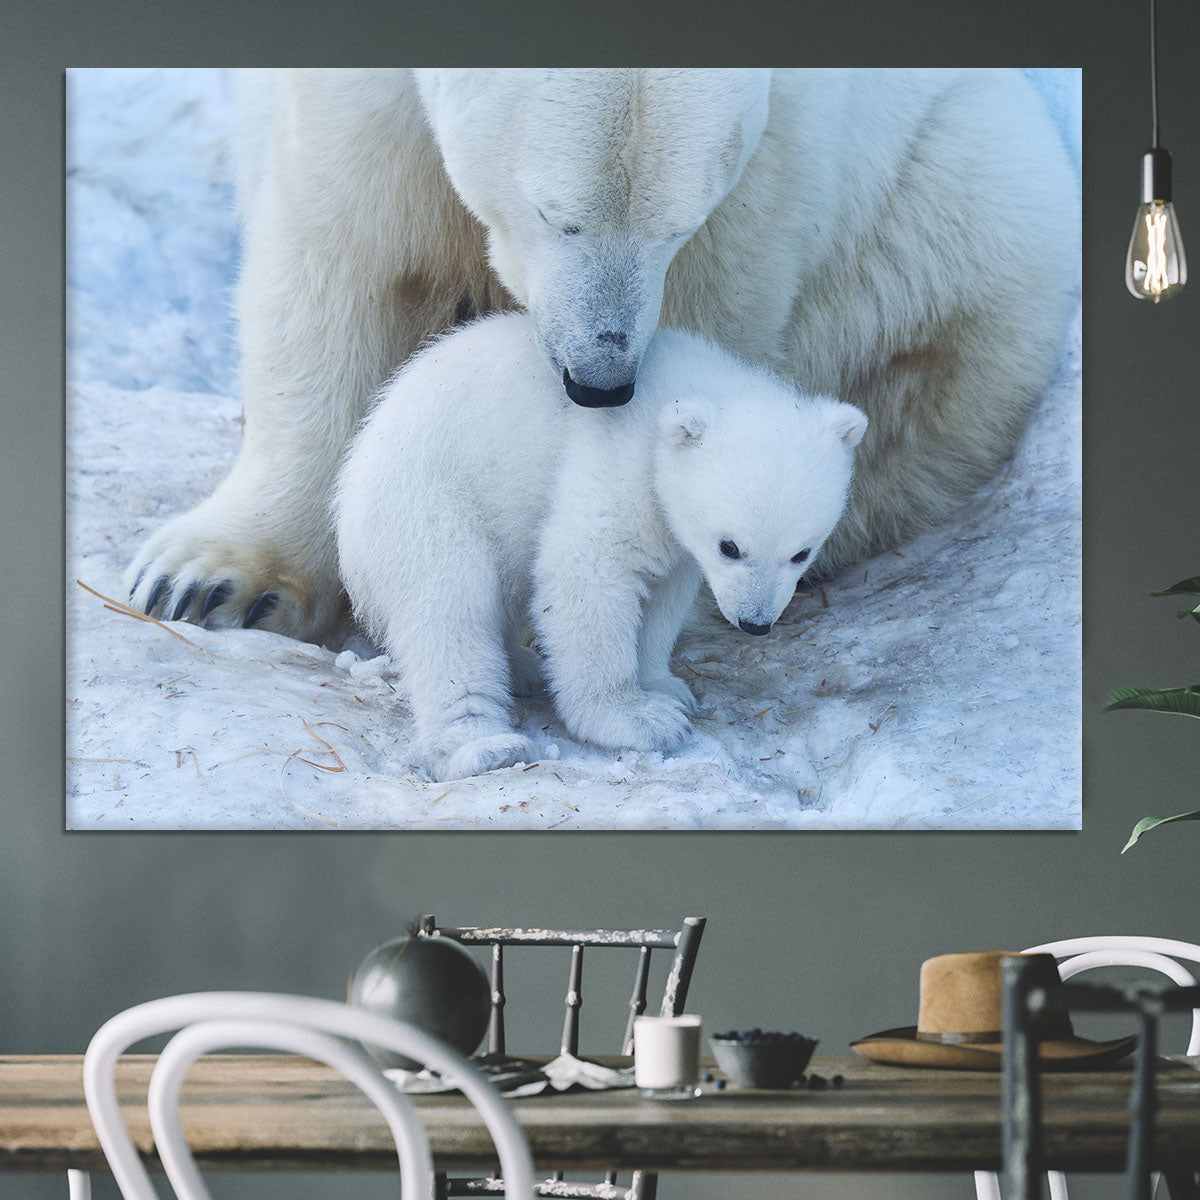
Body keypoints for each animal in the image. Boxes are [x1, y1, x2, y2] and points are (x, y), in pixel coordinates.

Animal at [127, 68, 1078, 644]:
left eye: (677, 223)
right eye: (557, 214)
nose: (600, 380)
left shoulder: (775, 158)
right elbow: (342, 251)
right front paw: (210, 582)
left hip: (959, 200)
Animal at [334, 312, 867, 783]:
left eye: (802, 553)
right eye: (730, 546)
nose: (755, 623)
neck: (678, 391)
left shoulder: (674, 530)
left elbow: (664, 594)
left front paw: (666, 687)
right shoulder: (616, 459)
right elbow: (586, 575)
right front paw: (640, 719)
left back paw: (524, 667)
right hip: (429, 505)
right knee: (449, 615)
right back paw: (484, 746)